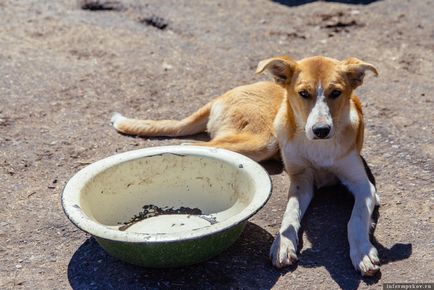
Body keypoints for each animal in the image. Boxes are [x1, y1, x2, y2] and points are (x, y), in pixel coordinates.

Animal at [111, 55, 380, 276]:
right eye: (304, 93)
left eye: (336, 93)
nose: (321, 130)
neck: (320, 147)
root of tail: (221, 96)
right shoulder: (300, 180)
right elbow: (290, 213)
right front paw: (283, 243)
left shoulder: (363, 185)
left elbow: (356, 218)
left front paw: (362, 251)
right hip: (264, 139)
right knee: (191, 144)